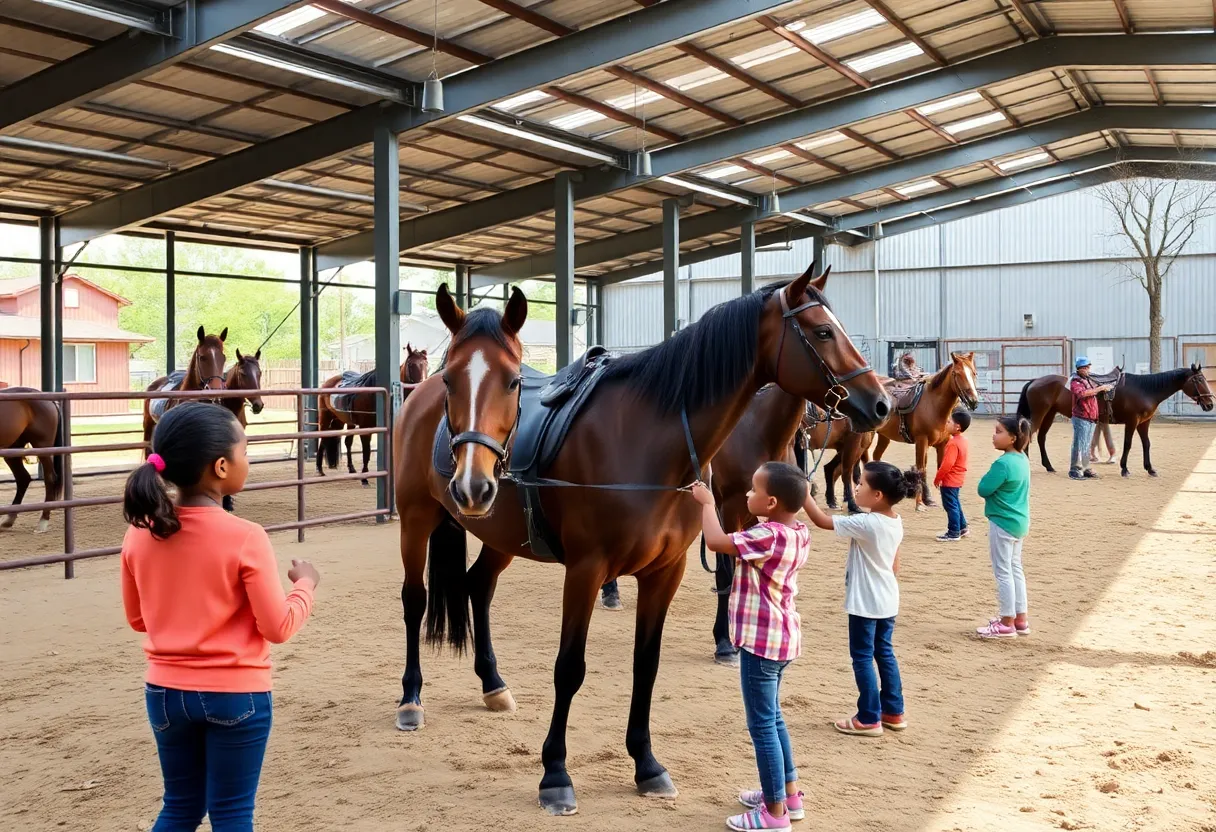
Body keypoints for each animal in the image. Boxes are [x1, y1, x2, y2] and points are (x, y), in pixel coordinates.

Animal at [0, 390, 63, 534]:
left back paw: (43, 522)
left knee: (50, 478)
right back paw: (8, 520)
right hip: (12, 450)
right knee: (23, 478)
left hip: (42, 447)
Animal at [315, 344, 428, 486]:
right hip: (325, 418)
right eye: (411, 364)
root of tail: (327, 383)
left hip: (343, 421)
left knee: (347, 442)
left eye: (426, 364)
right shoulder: (365, 429)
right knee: (322, 439)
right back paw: (319, 470)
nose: (422, 385)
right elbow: (366, 452)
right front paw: (364, 478)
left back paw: (351, 469)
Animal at [392, 265, 889, 815]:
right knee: (415, 600)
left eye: (515, 381)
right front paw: (555, 774)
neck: (648, 442)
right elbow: (569, 668)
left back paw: (493, 684)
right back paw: (411, 699)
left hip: (500, 535)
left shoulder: (665, 572)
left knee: (477, 587)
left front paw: (647, 764)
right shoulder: (586, 571)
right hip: (416, 520)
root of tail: (417, 397)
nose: (880, 402)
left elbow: (645, 665)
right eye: (822, 332)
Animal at [871, 352, 980, 508]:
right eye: (956, 373)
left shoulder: (942, 443)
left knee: (876, 456)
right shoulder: (921, 441)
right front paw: (922, 501)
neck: (933, 405)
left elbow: (940, 467)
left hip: (884, 436)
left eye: (974, 373)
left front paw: (932, 498)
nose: (973, 401)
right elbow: (921, 468)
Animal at [1017, 363, 1213, 476]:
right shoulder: (1132, 421)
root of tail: (1035, 381)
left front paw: (1150, 469)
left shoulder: (1144, 423)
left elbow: (1147, 444)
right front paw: (1124, 469)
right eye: (1198, 379)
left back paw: (1049, 466)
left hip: (1049, 415)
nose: (1210, 403)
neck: (1145, 389)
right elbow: (1128, 444)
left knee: (1041, 438)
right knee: (1030, 435)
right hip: (1040, 414)